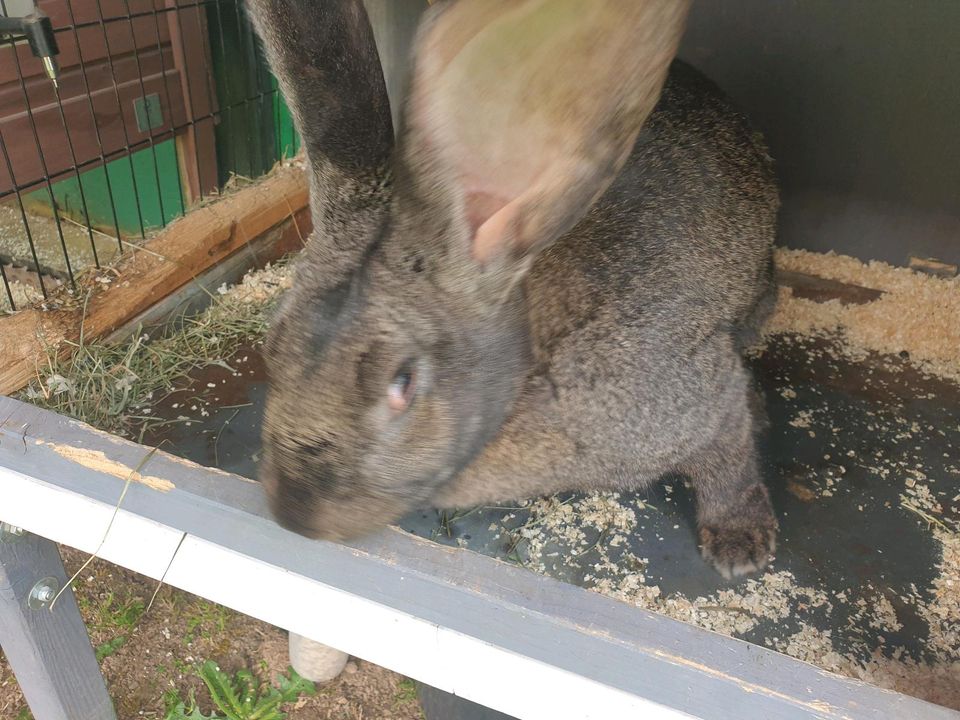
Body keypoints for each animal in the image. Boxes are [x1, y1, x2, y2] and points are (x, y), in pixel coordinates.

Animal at [248, 0, 780, 576]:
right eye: (272, 348)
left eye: (402, 382)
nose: (294, 515)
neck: (532, 357)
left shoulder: (695, 393)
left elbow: (729, 455)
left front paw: (740, 545)